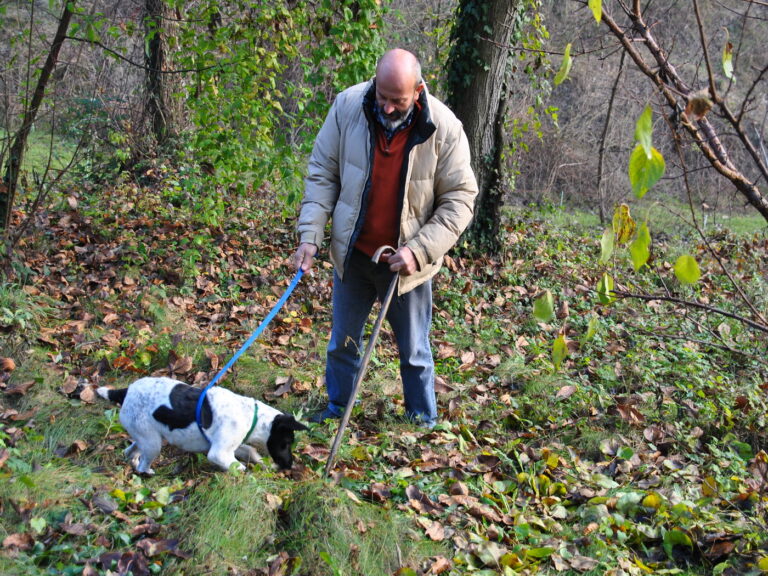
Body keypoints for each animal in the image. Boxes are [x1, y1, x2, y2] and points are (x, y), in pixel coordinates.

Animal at [97, 376, 308, 474]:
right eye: (286, 443)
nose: (289, 466)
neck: (251, 416)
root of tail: (126, 391)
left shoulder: (232, 446)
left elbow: (251, 452)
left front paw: (263, 464)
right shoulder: (218, 453)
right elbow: (239, 467)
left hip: (145, 435)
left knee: (130, 450)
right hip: (153, 444)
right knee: (142, 465)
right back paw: (148, 473)